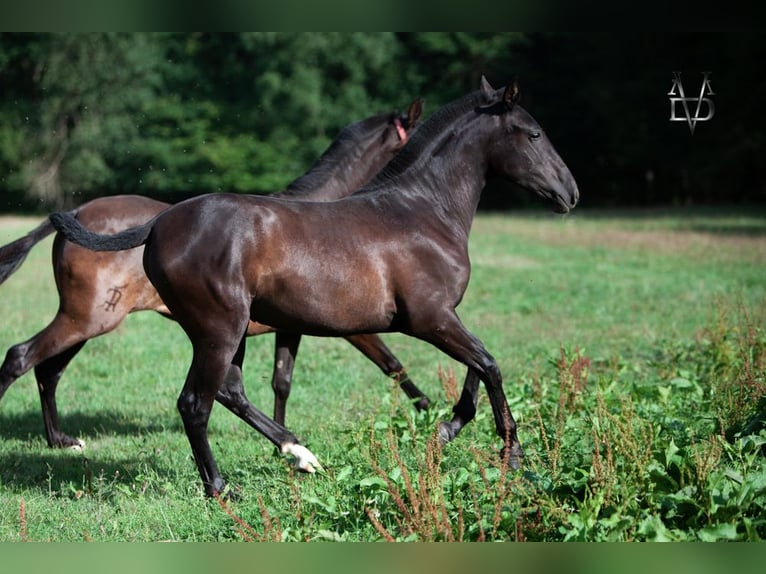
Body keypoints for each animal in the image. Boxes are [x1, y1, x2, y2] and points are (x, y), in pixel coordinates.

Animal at [0, 101, 428, 452]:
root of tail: (76, 213)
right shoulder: (350, 325)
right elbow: (392, 363)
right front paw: (427, 409)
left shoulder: (291, 327)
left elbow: (282, 381)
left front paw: (284, 443)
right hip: (89, 318)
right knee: (21, 356)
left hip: (89, 320)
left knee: (48, 368)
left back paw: (60, 440)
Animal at [51, 77, 580, 500]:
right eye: (534, 134)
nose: (570, 193)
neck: (422, 212)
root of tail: (159, 223)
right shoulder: (429, 318)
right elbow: (487, 363)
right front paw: (511, 455)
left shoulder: (442, 316)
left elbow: (477, 366)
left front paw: (448, 428)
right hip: (217, 329)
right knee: (195, 403)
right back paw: (221, 488)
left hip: (227, 332)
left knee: (230, 392)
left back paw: (300, 453)